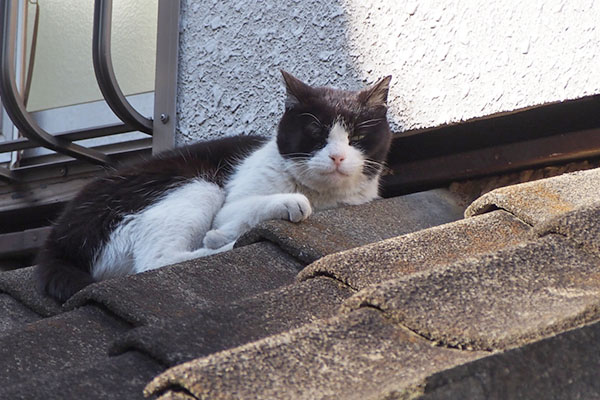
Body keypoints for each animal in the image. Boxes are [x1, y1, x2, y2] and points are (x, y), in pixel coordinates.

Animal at [36, 71, 394, 304]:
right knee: (156, 261)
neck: (323, 198)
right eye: (316, 134)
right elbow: (253, 208)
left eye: (357, 137)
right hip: (198, 183)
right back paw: (222, 243)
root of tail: (58, 239)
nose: (336, 156)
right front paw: (286, 205)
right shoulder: (231, 203)